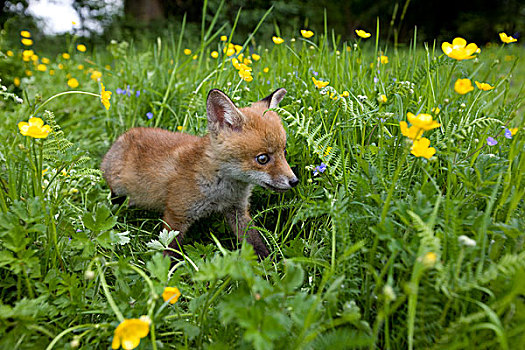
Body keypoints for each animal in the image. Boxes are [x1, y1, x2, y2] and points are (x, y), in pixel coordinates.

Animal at [100, 89, 296, 258]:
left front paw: (271, 265)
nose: (294, 181)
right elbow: (169, 249)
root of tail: (124, 135)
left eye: (284, 152)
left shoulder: (237, 210)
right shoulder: (176, 214)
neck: (221, 189)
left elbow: (254, 240)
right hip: (118, 189)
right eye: (262, 158)